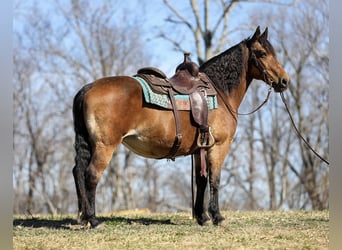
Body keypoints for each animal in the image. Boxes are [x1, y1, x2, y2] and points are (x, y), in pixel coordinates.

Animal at [71, 26, 288, 228]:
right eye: (262, 53)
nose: (285, 81)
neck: (219, 91)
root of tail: (88, 88)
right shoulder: (219, 146)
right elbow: (215, 180)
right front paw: (217, 216)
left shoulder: (199, 149)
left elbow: (201, 180)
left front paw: (202, 217)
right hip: (104, 146)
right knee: (91, 175)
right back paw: (93, 220)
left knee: (78, 171)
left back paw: (83, 218)